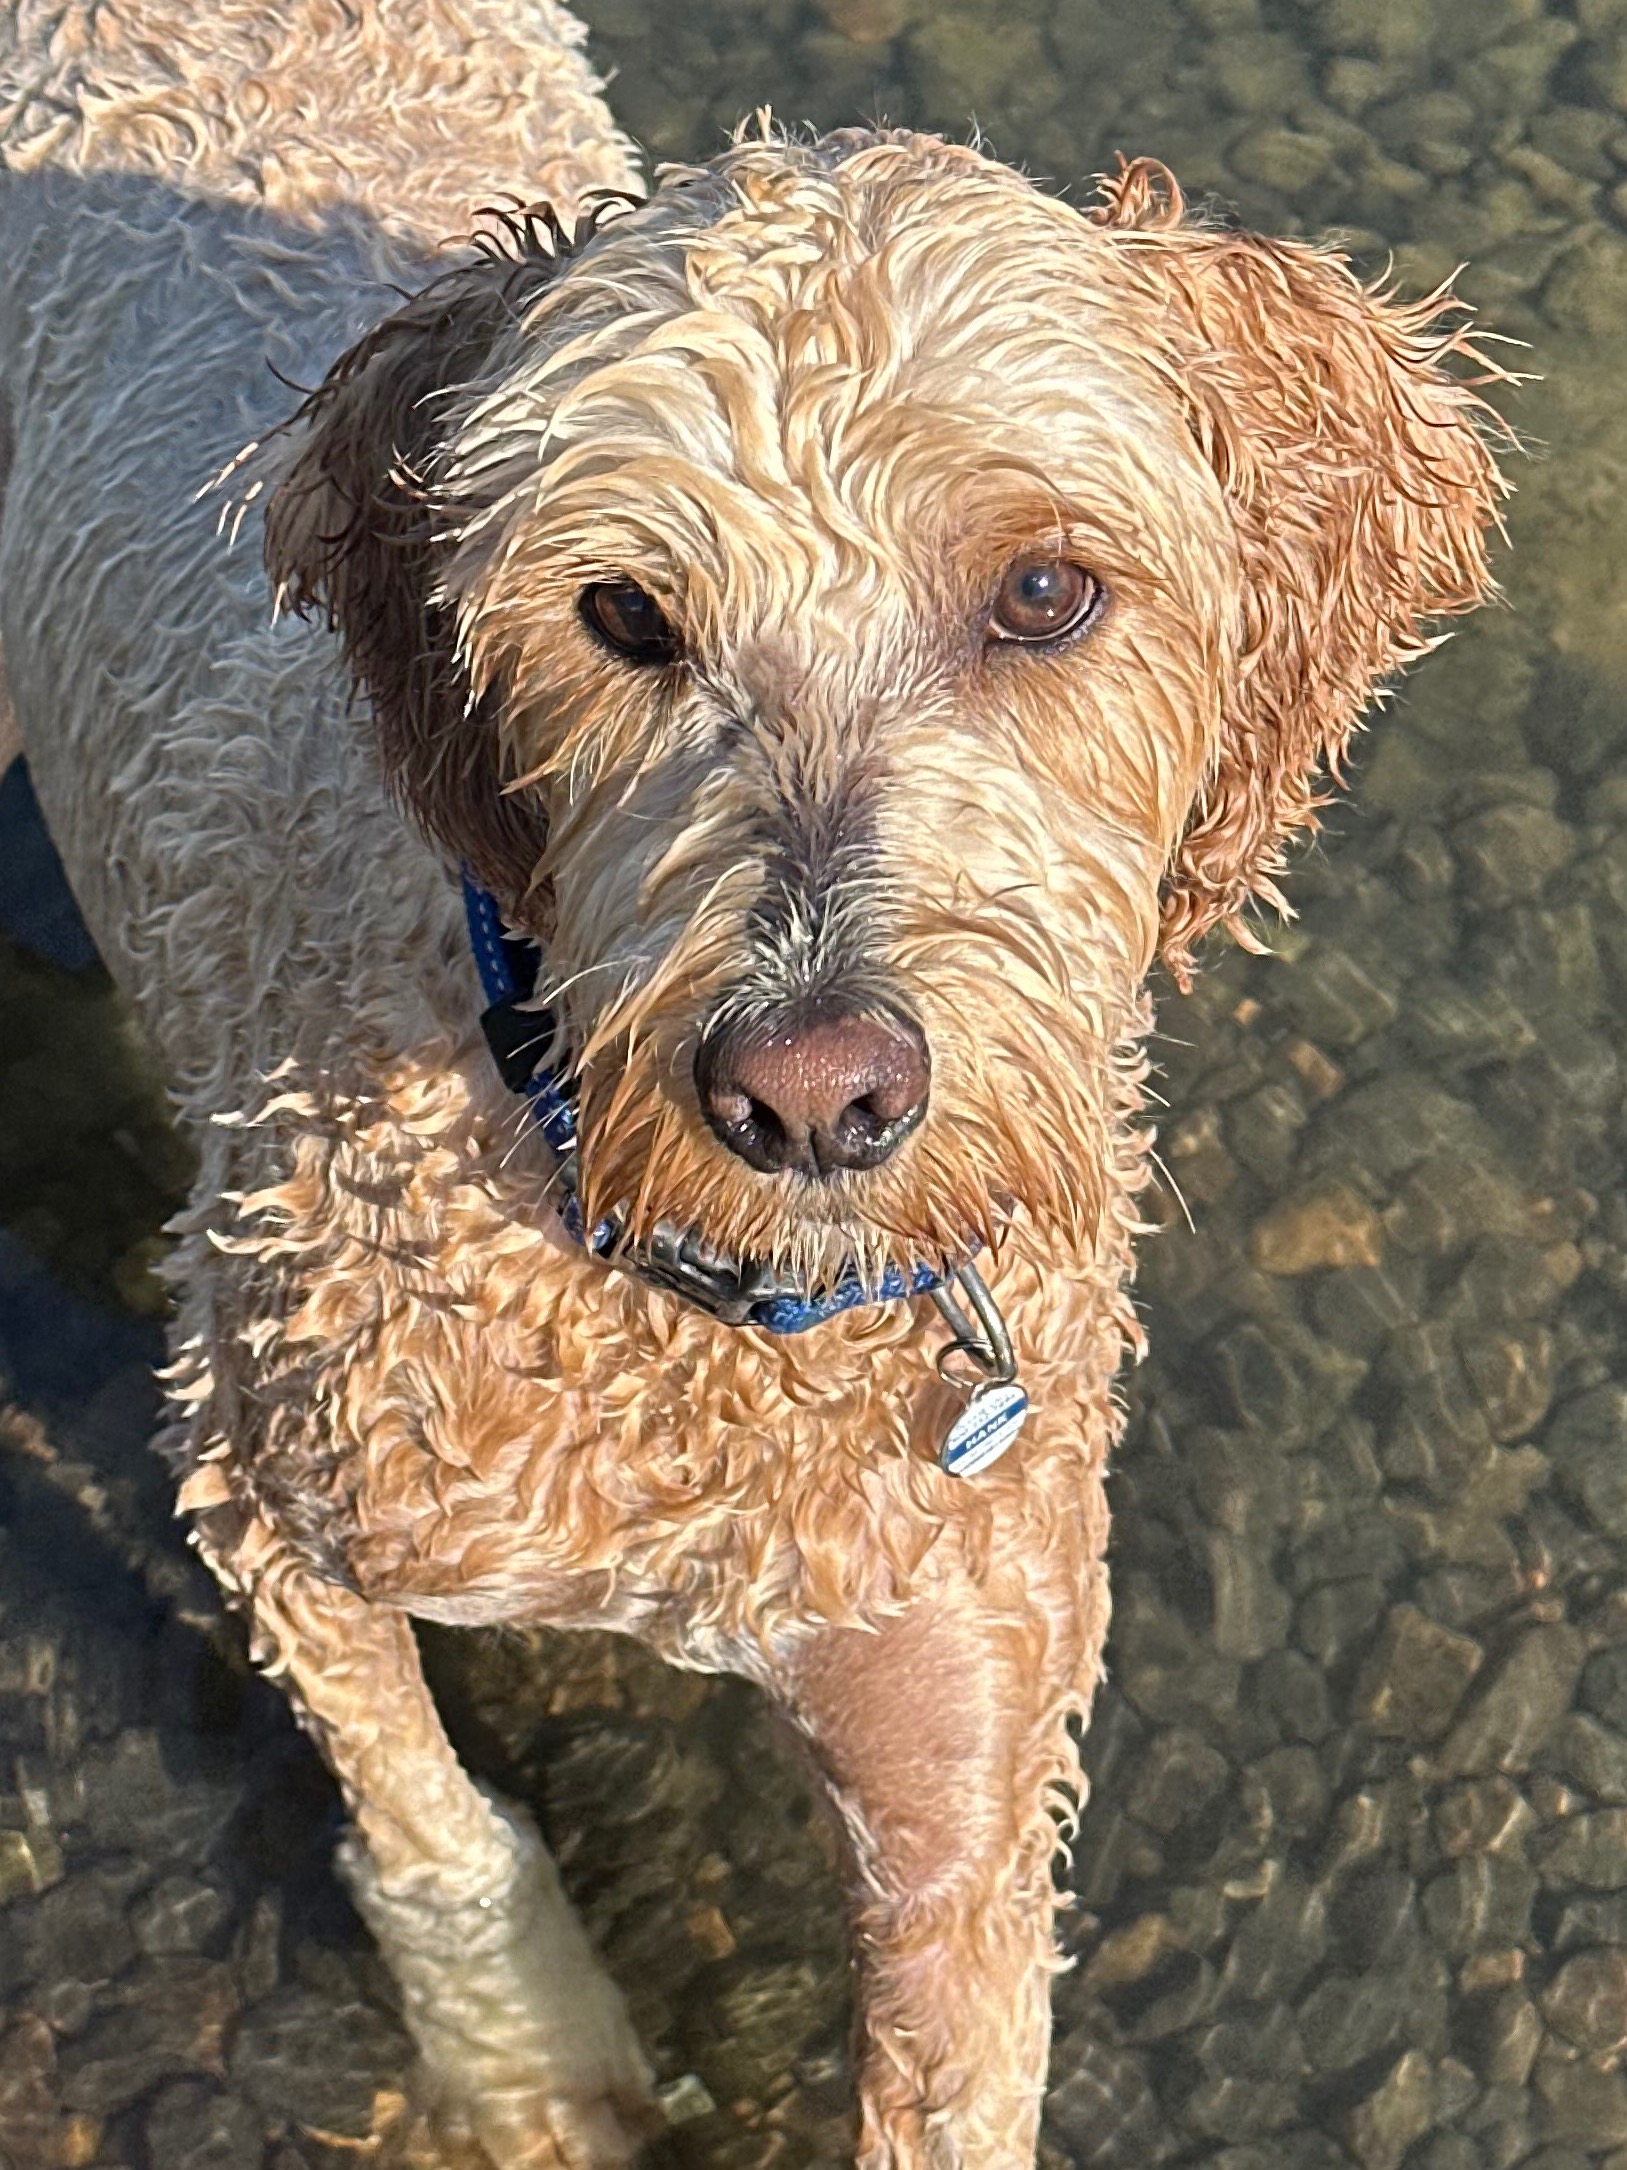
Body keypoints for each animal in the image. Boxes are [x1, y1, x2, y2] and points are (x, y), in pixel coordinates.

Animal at [0, 1, 1509, 2161]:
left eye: (1043, 592)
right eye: (623, 611)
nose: (808, 1093)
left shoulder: (959, 1783)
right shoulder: (268, 1484)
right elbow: (426, 1821)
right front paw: (526, 2054)